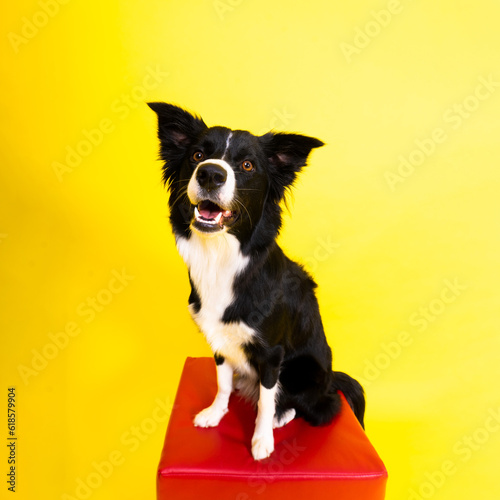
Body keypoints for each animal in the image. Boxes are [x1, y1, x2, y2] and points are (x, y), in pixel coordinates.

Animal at [147, 101, 364, 460]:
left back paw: (282, 415)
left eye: (247, 165)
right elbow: (222, 381)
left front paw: (262, 440)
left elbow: (265, 399)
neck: (222, 257)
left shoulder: (271, 353)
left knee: (320, 405)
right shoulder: (218, 339)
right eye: (196, 155)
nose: (210, 173)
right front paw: (216, 412)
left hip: (305, 372)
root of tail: (330, 379)